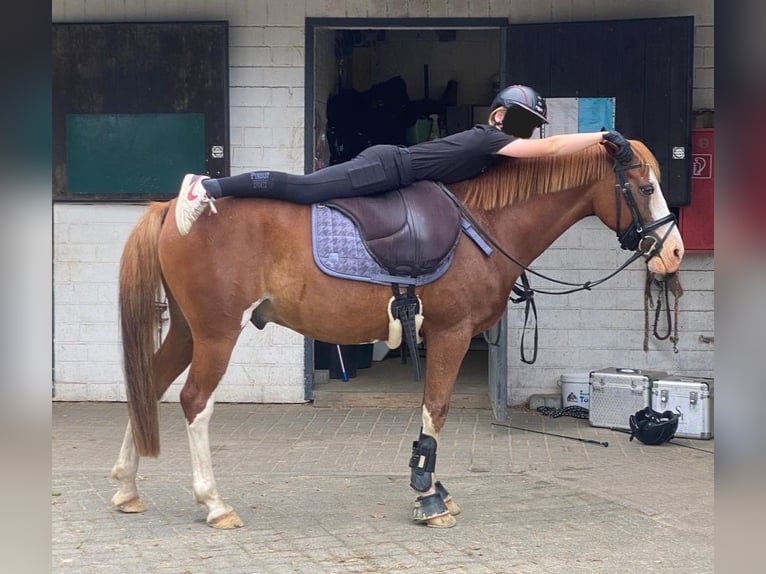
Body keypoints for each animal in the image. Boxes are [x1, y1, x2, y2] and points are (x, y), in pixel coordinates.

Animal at [112, 141, 684, 532]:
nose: (674, 252)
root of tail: (171, 211)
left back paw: (126, 488)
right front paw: (428, 496)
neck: (482, 224)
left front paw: (436, 489)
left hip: (188, 331)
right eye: (646, 187)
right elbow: (437, 408)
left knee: (148, 387)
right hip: (215, 333)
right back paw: (213, 503)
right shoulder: (451, 334)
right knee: (194, 401)